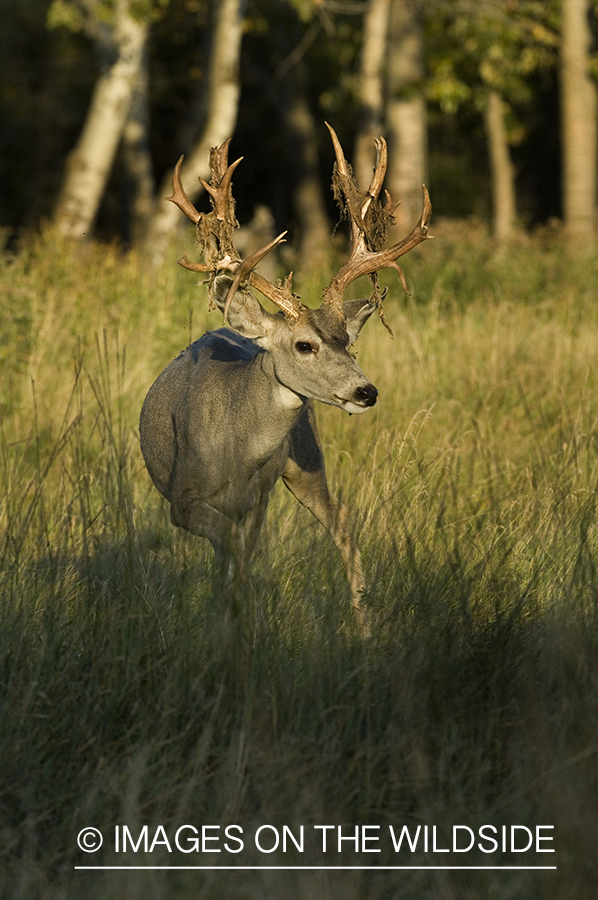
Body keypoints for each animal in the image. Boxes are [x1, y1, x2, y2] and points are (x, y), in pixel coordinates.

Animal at [141, 123, 432, 632]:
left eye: (347, 341)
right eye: (304, 345)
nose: (366, 391)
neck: (234, 450)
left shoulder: (258, 498)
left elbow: (241, 558)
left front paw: (246, 626)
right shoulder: (182, 499)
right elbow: (231, 557)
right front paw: (235, 625)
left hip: (305, 459)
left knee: (340, 518)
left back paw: (364, 624)